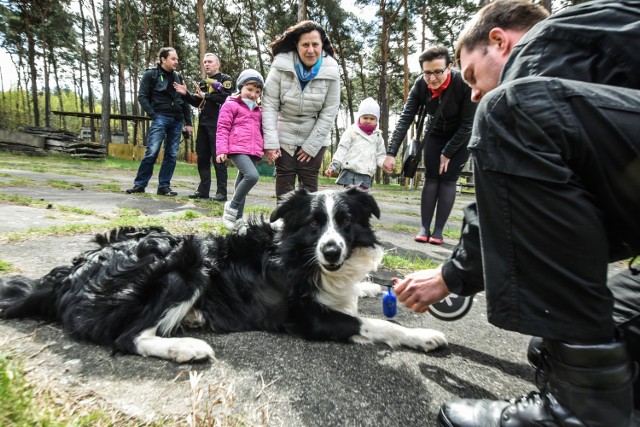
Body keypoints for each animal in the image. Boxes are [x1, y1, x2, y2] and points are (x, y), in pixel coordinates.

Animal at [0, 189, 444, 362]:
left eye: (346, 221)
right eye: (315, 224)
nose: (331, 251)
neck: (304, 258)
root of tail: (69, 273)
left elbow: (360, 290)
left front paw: (370, 286)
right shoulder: (307, 317)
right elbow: (373, 324)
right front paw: (422, 336)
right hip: (185, 263)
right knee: (129, 338)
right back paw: (187, 347)